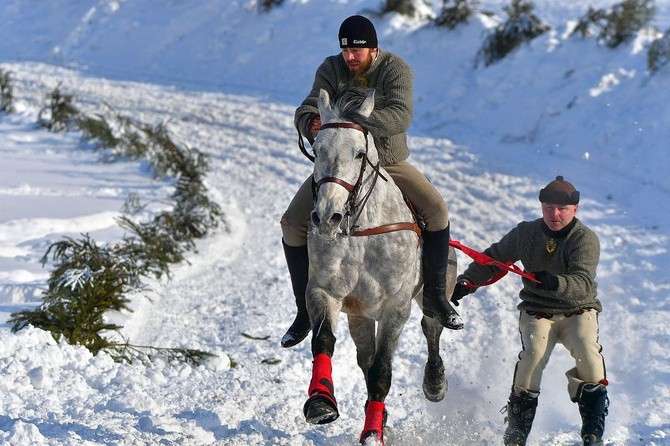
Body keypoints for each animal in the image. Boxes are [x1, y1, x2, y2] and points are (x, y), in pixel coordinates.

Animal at [306, 86, 460, 442]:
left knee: (431, 325)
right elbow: (325, 342)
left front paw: (373, 434)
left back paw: (435, 382)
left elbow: (381, 370)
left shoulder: (395, 306)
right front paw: (320, 403)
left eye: (360, 154)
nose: (327, 216)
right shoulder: (327, 292)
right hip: (361, 315)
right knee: (365, 356)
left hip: (433, 291)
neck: (362, 231)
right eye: (316, 149)